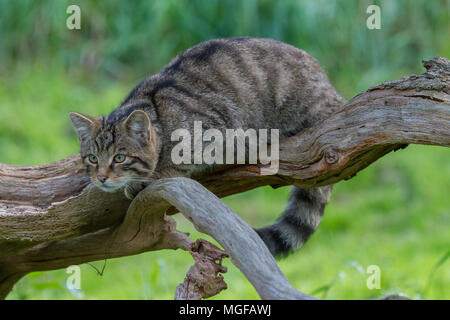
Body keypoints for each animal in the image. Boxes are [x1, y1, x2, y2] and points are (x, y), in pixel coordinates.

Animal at [70, 38, 342, 258]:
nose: (101, 177)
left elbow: (179, 162)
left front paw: (153, 175)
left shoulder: (223, 135)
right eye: (92, 158)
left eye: (120, 157)